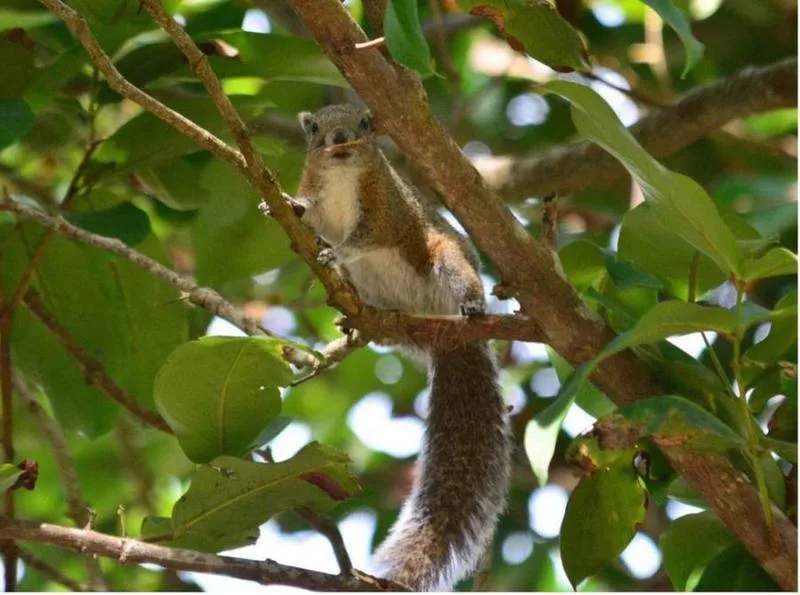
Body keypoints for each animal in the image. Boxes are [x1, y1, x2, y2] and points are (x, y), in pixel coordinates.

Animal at [292, 104, 511, 591]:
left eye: (365, 124)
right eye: (315, 129)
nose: (340, 138)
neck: (342, 177)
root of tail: (447, 335)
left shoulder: (384, 207)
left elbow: (367, 236)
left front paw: (336, 252)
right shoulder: (315, 193)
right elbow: (308, 216)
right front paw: (288, 207)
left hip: (446, 258)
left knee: (459, 278)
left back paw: (472, 305)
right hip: (372, 293)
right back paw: (363, 323)